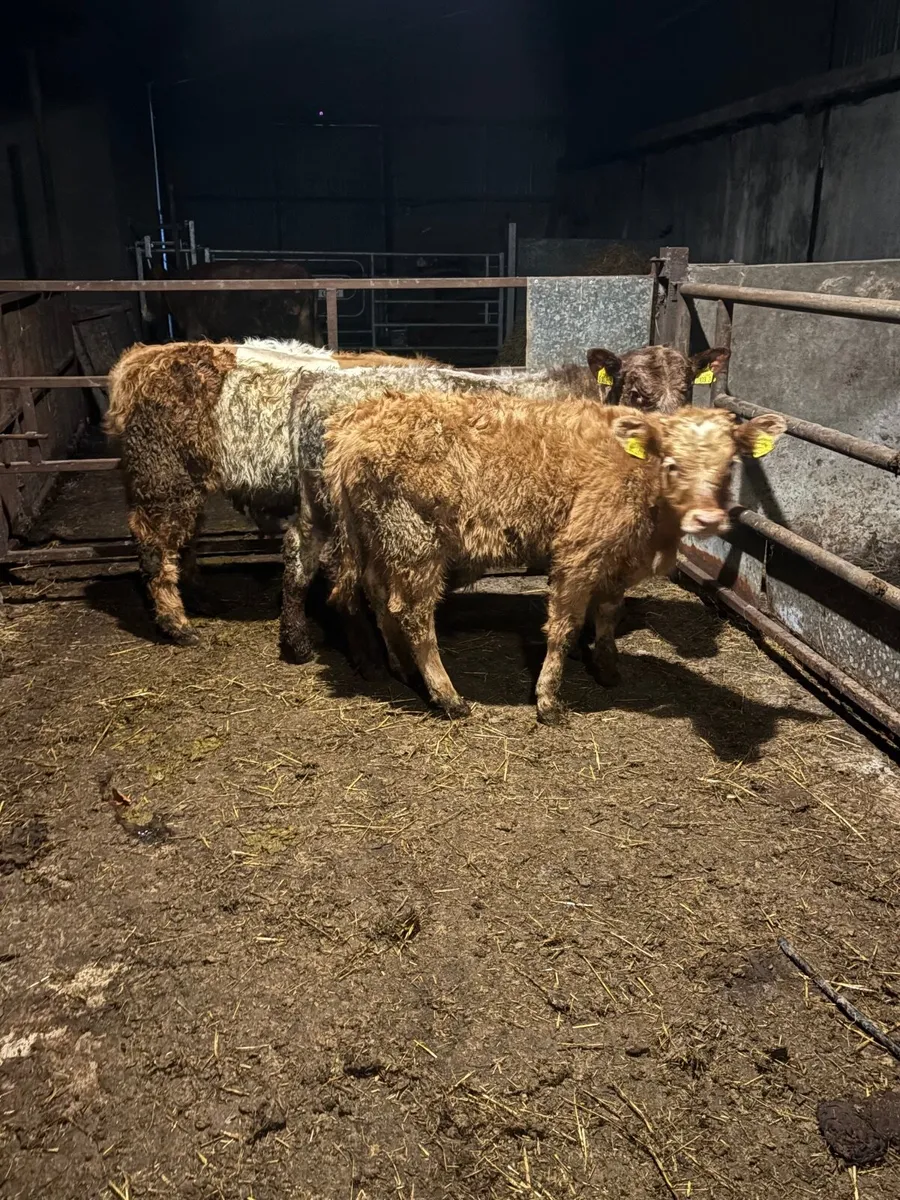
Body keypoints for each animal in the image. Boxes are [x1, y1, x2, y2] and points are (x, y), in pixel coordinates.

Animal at [322, 391, 786, 723]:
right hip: (415, 540)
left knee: (380, 600)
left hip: (381, 538)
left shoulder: (616, 559)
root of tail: (355, 423)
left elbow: (608, 614)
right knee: (414, 614)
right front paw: (548, 699)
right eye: (672, 464)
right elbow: (564, 628)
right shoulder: (579, 551)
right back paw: (448, 697)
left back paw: (400, 668)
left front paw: (606, 667)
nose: (708, 519)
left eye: (730, 467)